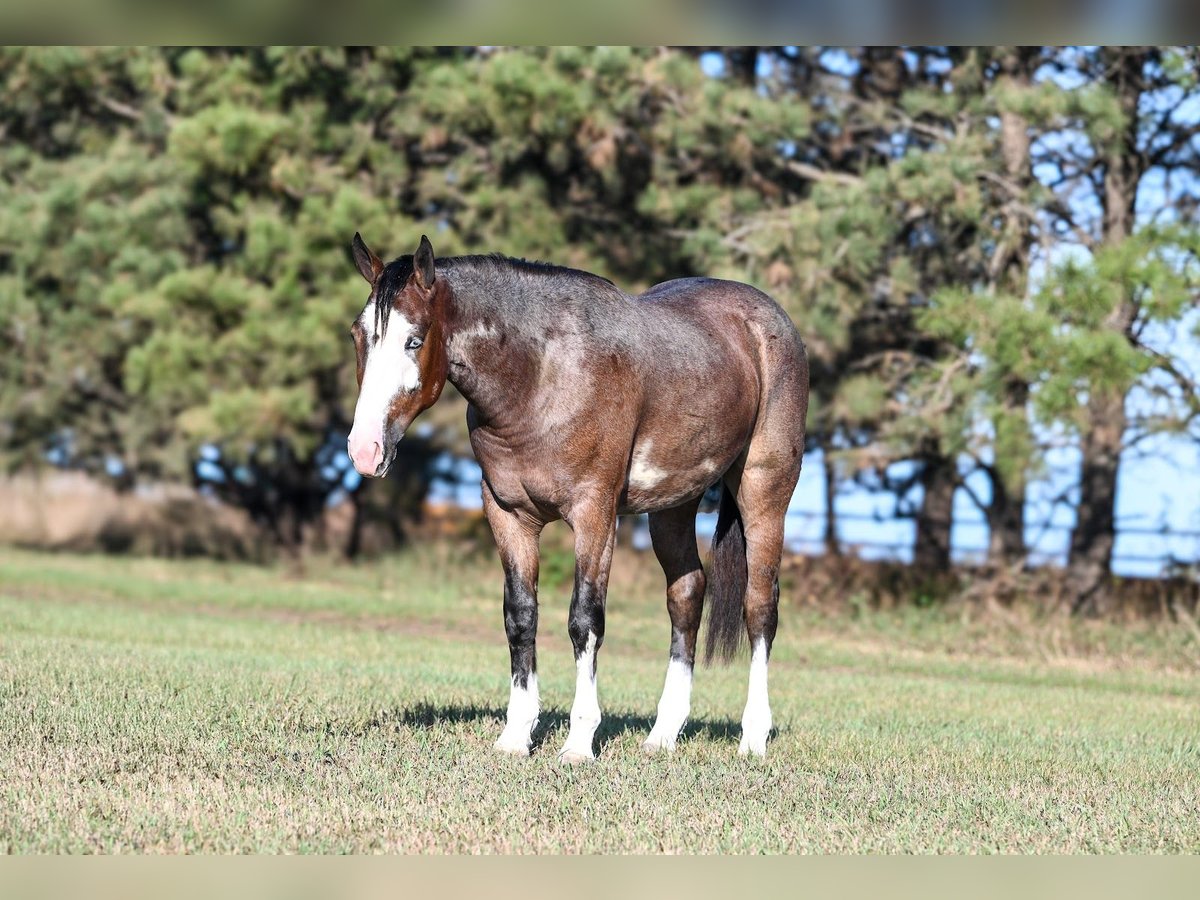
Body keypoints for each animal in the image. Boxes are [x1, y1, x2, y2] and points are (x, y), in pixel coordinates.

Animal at [345, 233, 809, 760]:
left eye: (415, 340)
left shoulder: (594, 515)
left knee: (760, 607)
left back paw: (753, 737)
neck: (542, 375)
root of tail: (768, 318)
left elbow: (584, 620)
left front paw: (579, 741)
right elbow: (520, 616)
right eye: (358, 336)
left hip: (763, 495)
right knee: (687, 596)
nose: (364, 450)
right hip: (672, 506)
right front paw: (516, 735)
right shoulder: (507, 515)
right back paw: (663, 735)